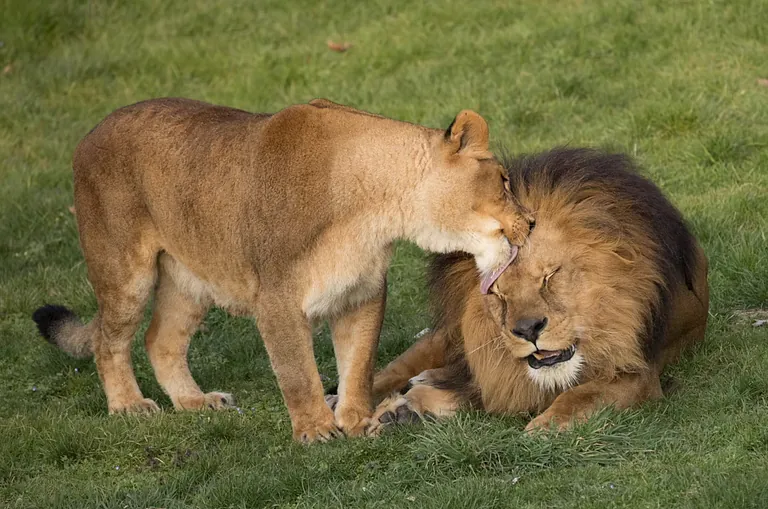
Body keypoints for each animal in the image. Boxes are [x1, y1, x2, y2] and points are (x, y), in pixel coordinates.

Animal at [33, 99, 532, 440]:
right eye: (504, 181)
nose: (531, 222)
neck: (377, 208)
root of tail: (90, 132)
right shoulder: (275, 296)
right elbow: (297, 370)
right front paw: (316, 429)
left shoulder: (362, 292)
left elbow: (358, 364)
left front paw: (356, 420)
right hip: (125, 272)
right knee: (108, 341)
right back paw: (129, 406)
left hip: (188, 280)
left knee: (160, 340)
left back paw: (196, 402)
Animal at [366, 147, 708, 432]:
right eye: (496, 292)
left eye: (549, 276)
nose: (528, 330)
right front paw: (404, 408)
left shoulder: (642, 372)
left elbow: (583, 394)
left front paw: (547, 425)